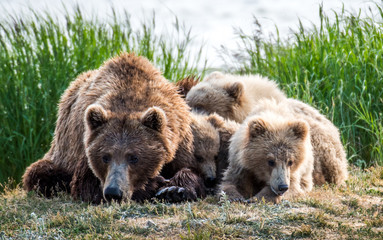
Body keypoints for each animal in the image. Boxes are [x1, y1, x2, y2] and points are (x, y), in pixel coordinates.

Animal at [22, 53, 206, 203]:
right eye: (105, 157)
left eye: (134, 157)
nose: (113, 192)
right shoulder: (85, 145)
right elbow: (86, 184)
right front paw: (155, 184)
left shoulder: (180, 141)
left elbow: (194, 170)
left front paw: (175, 190)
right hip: (61, 154)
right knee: (41, 174)